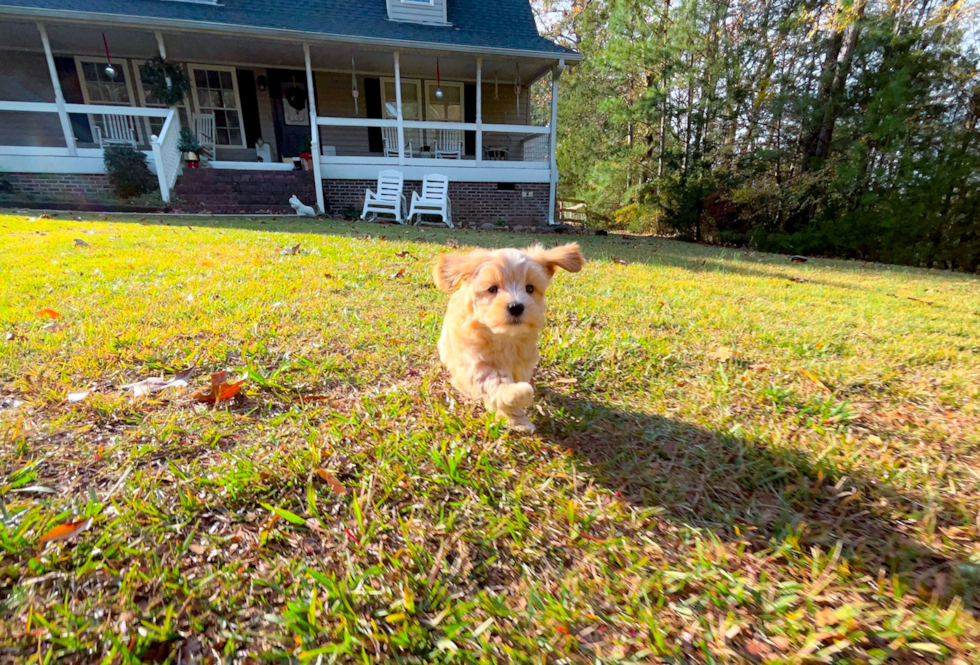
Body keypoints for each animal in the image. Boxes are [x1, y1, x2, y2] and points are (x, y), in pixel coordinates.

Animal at [434, 243, 584, 430]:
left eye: (529, 288)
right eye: (492, 289)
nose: (516, 306)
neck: (505, 337)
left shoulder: (522, 364)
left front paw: (516, 417)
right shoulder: (477, 362)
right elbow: (495, 384)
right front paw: (517, 395)